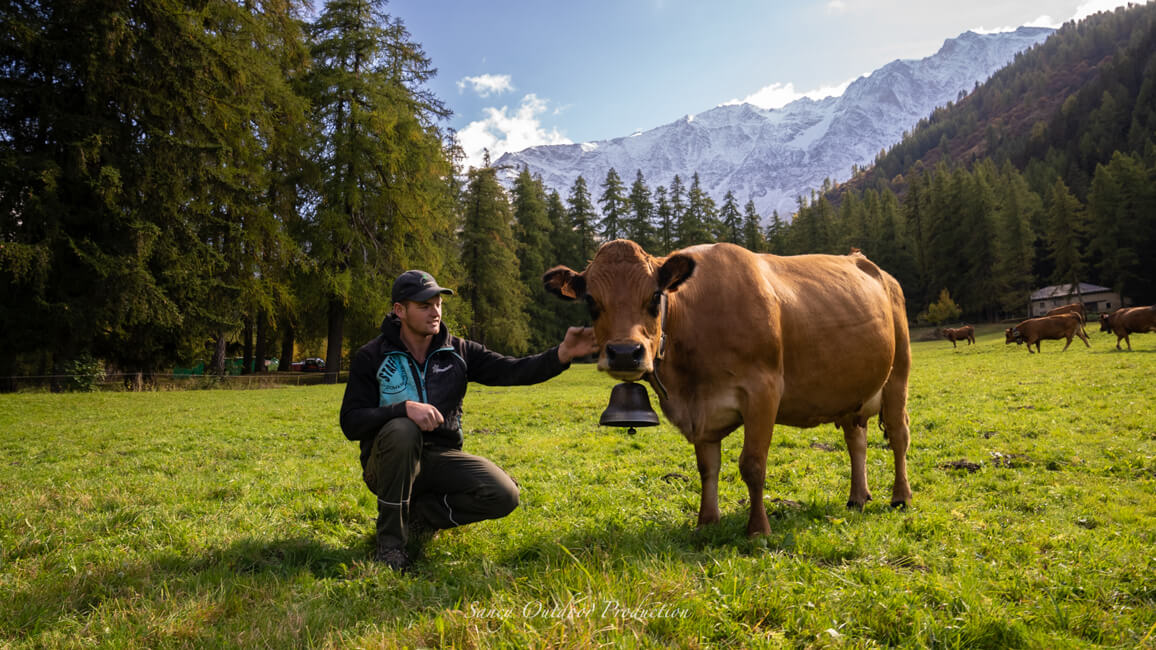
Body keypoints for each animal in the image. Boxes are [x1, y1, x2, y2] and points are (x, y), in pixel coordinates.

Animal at [541, 240, 910, 534]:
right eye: (591, 301)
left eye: (655, 297)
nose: (623, 353)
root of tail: (865, 261)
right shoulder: (700, 411)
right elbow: (707, 467)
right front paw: (706, 522)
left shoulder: (763, 391)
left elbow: (753, 465)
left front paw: (758, 529)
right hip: (852, 391)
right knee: (856, 440)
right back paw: (857, 497)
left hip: (898, 375)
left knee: (899, 436)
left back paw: (900, 497)